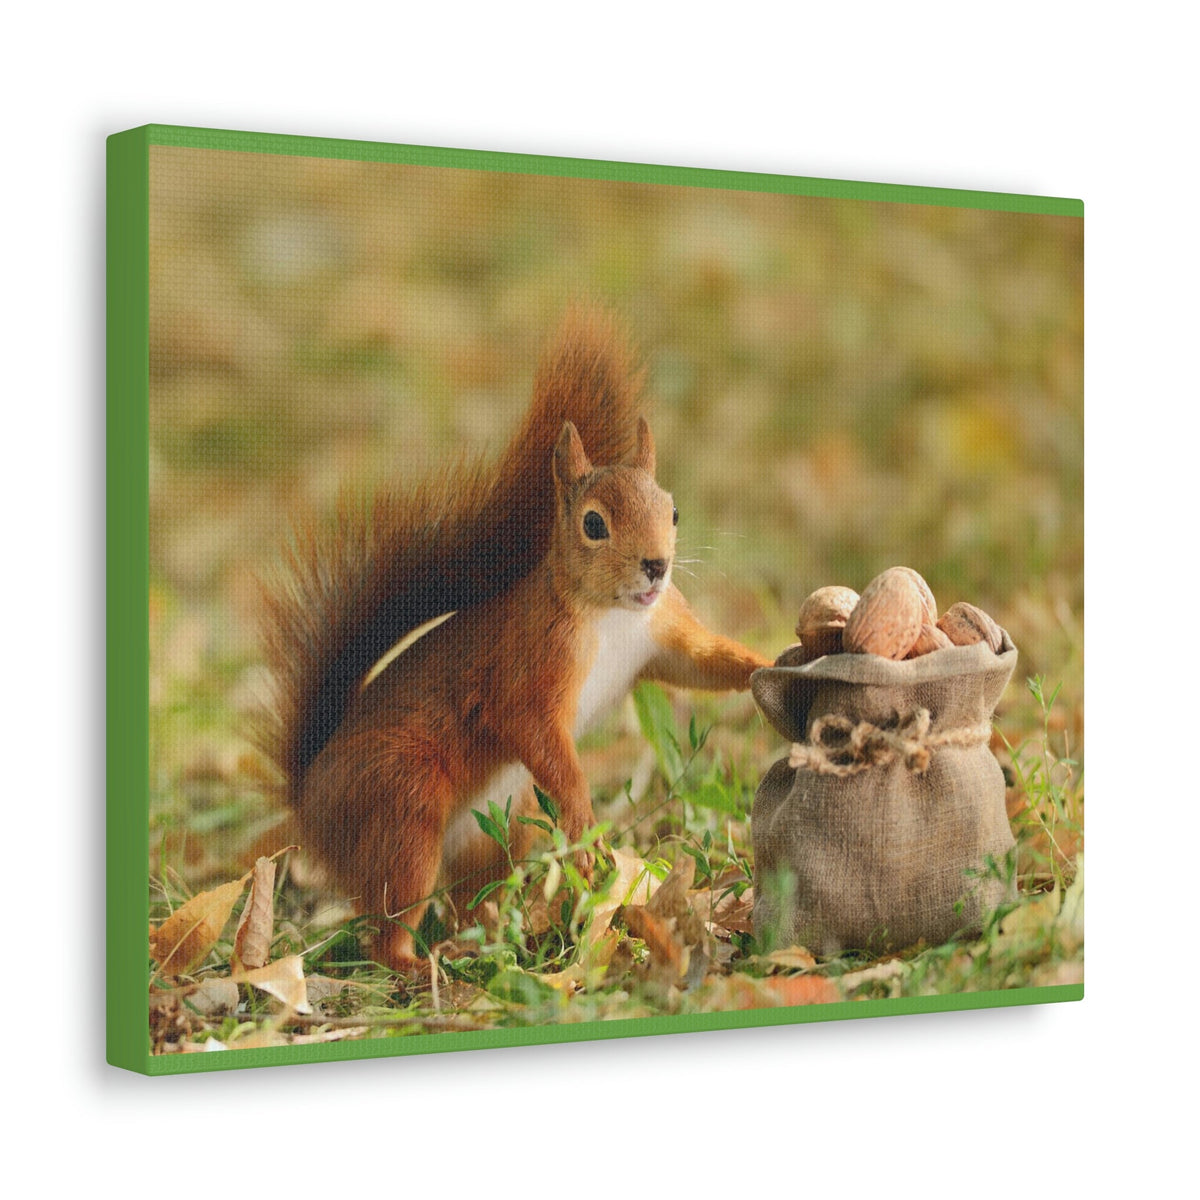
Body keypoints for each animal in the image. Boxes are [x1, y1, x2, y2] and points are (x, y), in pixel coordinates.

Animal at [258, 308, 770, 972]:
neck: (612, 616)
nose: (657, 566)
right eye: (593, 523)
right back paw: (418, 962)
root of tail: (311, 802)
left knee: (472, 898)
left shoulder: (662, 634)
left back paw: (499, 940)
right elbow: (530, 726)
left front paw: (775, 661)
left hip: (501, 828)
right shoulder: (532, 662)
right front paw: (584, 822)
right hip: (402, 805)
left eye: (674, 510)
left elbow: (705, 663)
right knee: (388, 919)